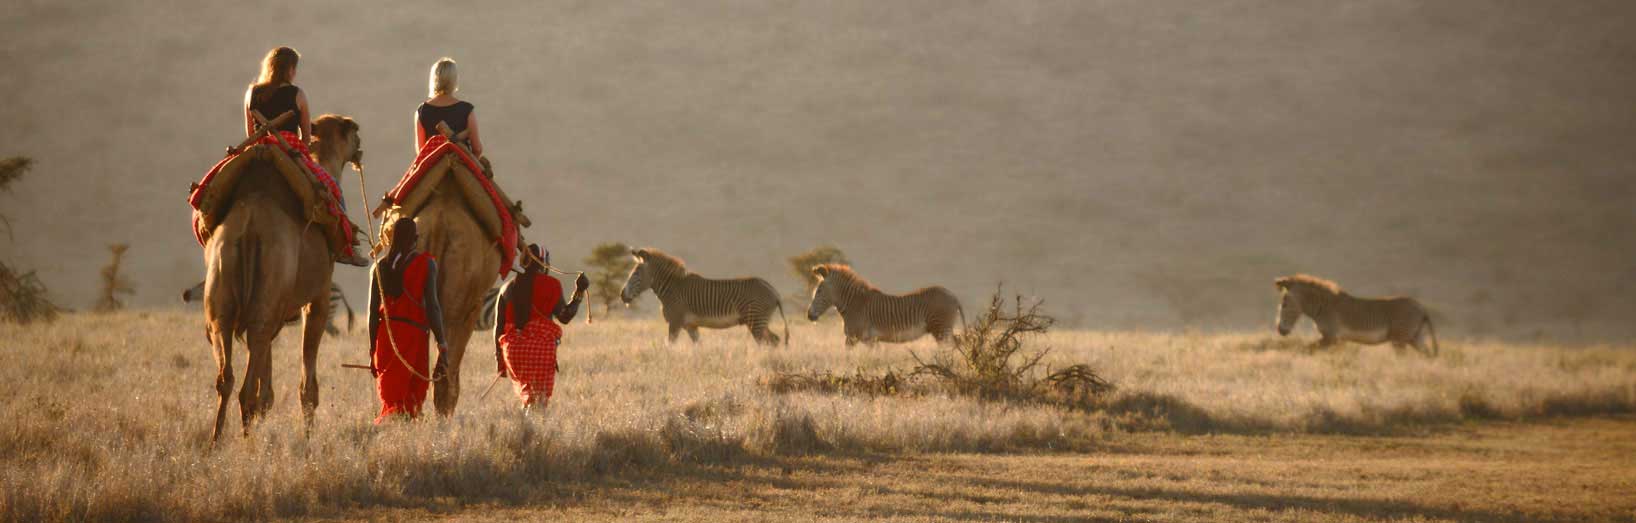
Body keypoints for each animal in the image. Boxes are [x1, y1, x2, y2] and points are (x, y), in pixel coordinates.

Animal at [201, 114, 361, 441]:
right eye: (352, 131)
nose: (360, 143)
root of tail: (249, 228)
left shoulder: (275, 312)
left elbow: (268, 383)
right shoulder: (318, 297)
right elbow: (307, 383)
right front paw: (308, 435)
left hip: (224, 297)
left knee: (227, 376)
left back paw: (217, 441)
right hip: (269, 293)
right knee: (246, 387)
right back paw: (246, 443)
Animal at [615, 248, 788, 344]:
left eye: (636, 274)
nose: (622, 295)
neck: (672, 288)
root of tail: (773, 290)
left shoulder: (675, 322)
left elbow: (669, 346)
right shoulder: (691, 325)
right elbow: (698, 347)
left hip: (756, 320)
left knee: (768, 342)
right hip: (760, 321)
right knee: (775, 341)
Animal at [801, 264, 955, 346]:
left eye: (819, 291)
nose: (809, 315)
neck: (854, 304)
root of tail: (951, 294)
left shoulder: (857, 338)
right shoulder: (869, 340)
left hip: (941, 329)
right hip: (944, 329)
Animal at [1269, 274, 1439, 356]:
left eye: (1284, 304)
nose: (1280, 331)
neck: (1323, 307)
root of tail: (1422, 308)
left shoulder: (1331, 337)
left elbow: (1307, 349)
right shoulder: (1337, 340)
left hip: (1400, 339)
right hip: (1415, 337)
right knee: (1428, 356)